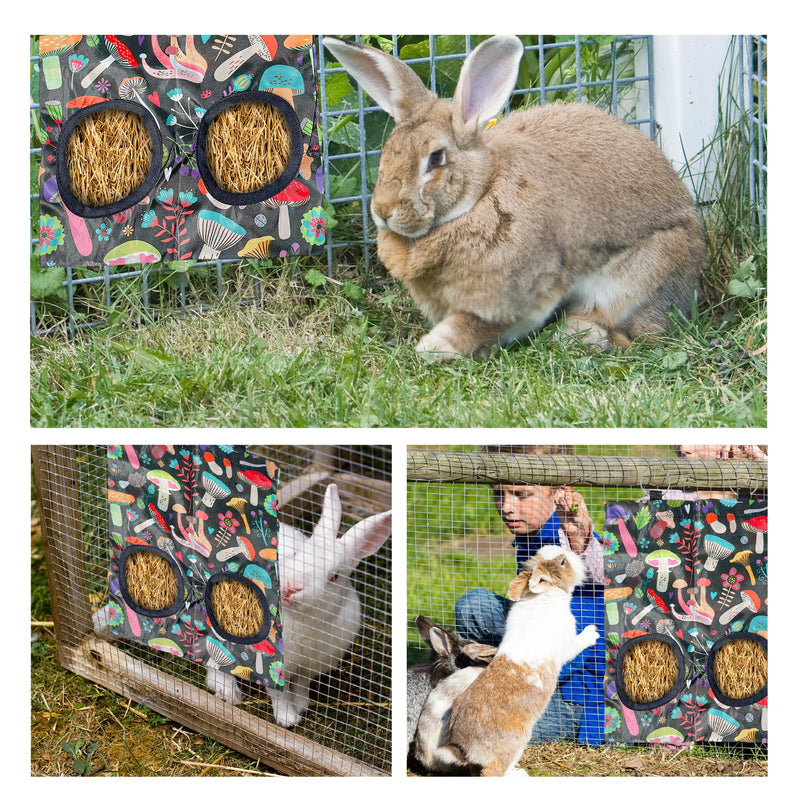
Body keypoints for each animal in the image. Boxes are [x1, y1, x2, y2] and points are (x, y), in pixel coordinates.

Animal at [207, 483, 392, 727]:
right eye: (296, 554)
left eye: (334, 576)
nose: (291, 588)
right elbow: (280, 694)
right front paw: (288, 720)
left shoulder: (311, 667)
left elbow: (302, 684)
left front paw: (302, 705)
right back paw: (227, 692)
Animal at [323, 36, 706, 359]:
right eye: (388, 150)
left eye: (435, 159)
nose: (383, 210)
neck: (479, 197)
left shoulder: (514, 295)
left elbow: (473, 326)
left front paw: (433, 347)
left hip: (641, 273)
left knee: (629, 328)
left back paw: (579, 334)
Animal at [417, 545, 598, 776]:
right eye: (563, 562)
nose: (571, 552)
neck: (544, 596)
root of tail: (461, 747)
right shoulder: (565, 648)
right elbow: (577, 645)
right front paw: (592, 633)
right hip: (514, 744)